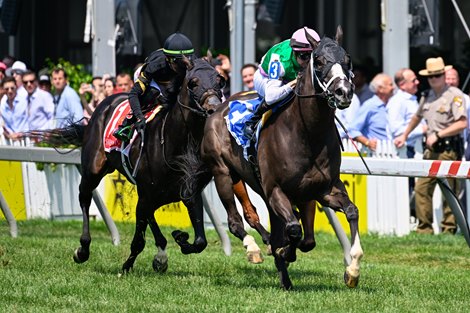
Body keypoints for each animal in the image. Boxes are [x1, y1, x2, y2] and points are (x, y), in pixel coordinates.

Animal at [39, 57, 227, 272]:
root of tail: (106, 102)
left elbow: (200, 242)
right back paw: (83, 249)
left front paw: (178, 238)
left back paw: (161, 253)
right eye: (193, 83)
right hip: (93, 170)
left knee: (149, 214)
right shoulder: (146, 194)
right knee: (85, 197)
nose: (214, 109)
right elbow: (138, 241)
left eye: (220, 81)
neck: (175, 143)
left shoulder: (189, 192)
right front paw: (126, 267)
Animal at [200, 25, 362, 288]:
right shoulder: (276, 189)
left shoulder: (325, 189)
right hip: (223, 173)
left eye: (347, 59)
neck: (307, 133)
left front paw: (353, 270)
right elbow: (293, 230)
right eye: (319, 61)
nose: (343, 92)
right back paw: (259, 251)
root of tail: (217, 109)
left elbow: (349, 213)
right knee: (236, 221)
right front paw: (284, 252)